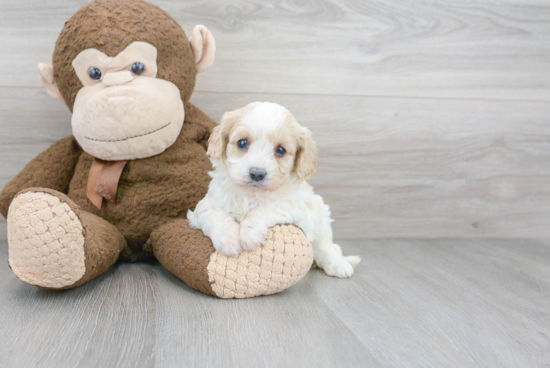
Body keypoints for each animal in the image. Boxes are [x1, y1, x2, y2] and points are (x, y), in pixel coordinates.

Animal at [189, 102, 362, 278]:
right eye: (242, 143)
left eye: (280, 150)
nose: (257, 173)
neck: (250, 195)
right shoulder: (206, 205)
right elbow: (213, 215)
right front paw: (227, 239)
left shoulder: (293, 209)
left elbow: (266, 209)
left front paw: (250, 232)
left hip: (320, 218)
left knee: (325, 249)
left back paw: (338, 265)